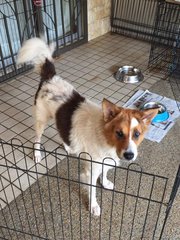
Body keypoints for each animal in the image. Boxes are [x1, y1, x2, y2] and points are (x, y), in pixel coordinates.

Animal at [16, 37, 158, 216]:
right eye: (119, 133)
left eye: (137, 134)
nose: (129, 155)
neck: (104, 138)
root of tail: (50, 76)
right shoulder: (91, 170)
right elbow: (92, 190)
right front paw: (93, 206)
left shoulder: (105, 162)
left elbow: (104, 173)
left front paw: (105, 182)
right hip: (41, 119)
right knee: (37, 139)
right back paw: (36, 154)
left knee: (61, 131)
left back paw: (69, 148)